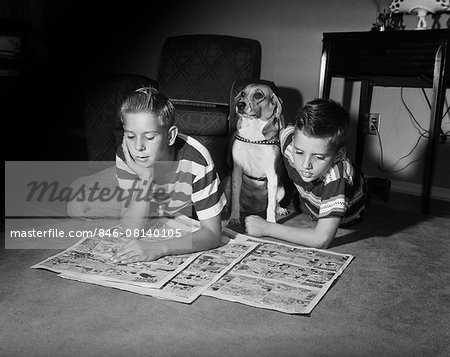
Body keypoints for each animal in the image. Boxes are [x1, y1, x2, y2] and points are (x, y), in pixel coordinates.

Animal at [229, 82, 288, 225]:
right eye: (243, 93)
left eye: (258, 95)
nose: (240, 104)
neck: (253, 136)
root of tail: (253, 209)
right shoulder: (236, 171)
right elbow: (235, 199)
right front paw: (234, 218)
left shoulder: (272, 175)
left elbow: (271, 205)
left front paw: (271, 223)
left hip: (281, 189)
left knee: (275, 203)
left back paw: (280, 209)